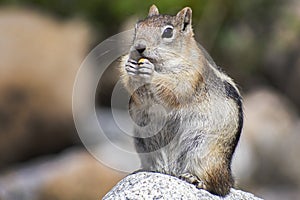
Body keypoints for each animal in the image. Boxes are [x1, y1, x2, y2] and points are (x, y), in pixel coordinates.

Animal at [118, 4, 243, 197]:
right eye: (137, 27)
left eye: (168, 32)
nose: (139, 47)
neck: (162, 64)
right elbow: (135, 90)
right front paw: (130, 67)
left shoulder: (190, 75)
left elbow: (174, 88)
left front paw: (150, 72)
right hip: (144, 145)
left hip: (204, 153)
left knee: (219, 187)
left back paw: (197, 180)